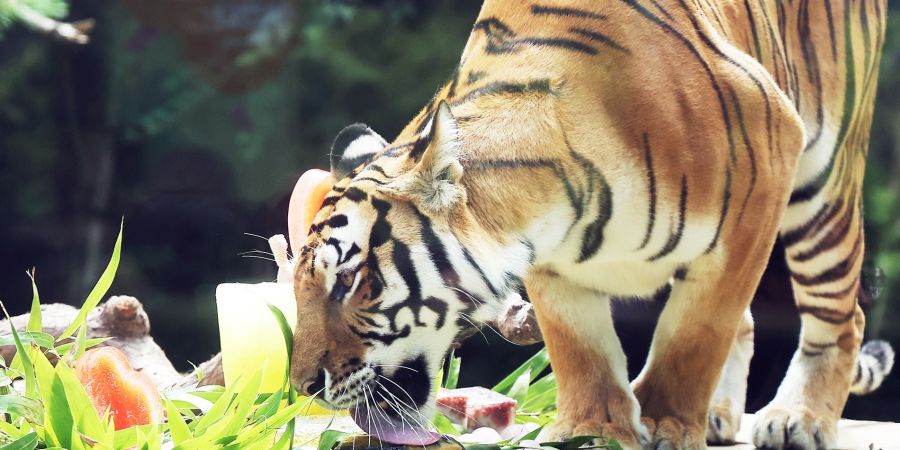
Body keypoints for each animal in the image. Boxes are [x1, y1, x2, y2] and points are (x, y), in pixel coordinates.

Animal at [287, 1, 894, 449]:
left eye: (349, 280)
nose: (304, 387)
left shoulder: (761, 184)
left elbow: (696, 331)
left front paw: (667, 421)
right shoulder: (553, 265)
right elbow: (581, 345)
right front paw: (594, 428)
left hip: (824, 180)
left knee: (841, 317)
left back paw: (798, 418)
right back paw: (720, 414)